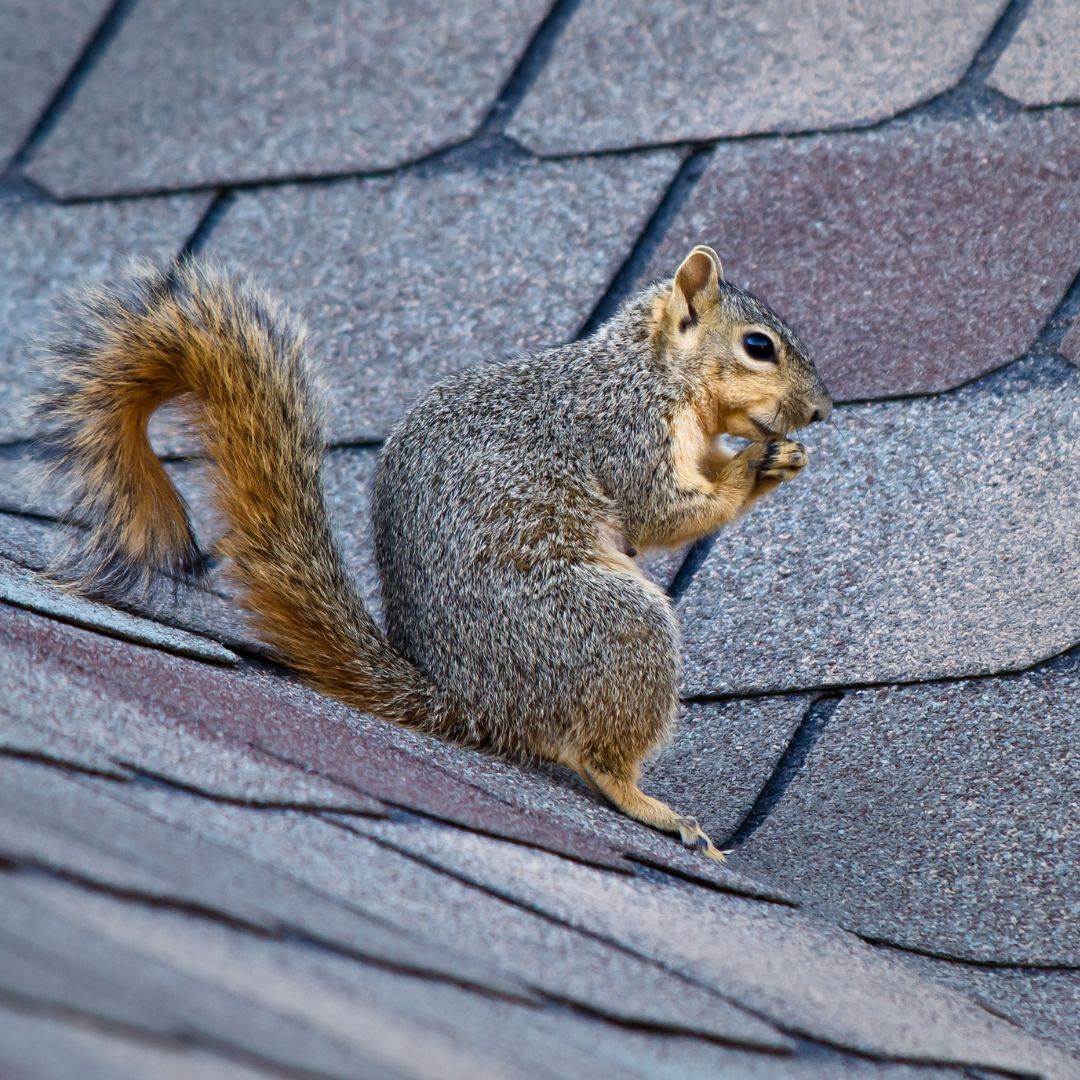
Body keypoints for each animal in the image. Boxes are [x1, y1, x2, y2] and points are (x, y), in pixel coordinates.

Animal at [35, 245, 830, 860]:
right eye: (758, 345)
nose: (822, 411)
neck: (652, 371)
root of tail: (469, 703)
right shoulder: (620, 430)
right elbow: (660, 509)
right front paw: (753, 469)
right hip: (612, 624)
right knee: (599, 756)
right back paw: (651, 806)